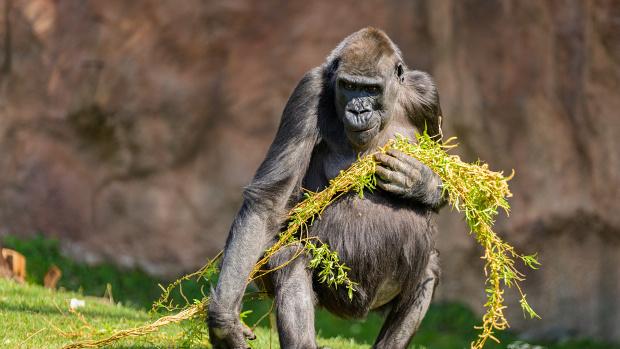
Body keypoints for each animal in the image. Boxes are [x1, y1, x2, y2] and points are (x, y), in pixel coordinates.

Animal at [209, 27, 446, 348]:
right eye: (349, 86)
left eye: (372, 90)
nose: (358, 110)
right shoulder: (308, 91)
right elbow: (270, 201)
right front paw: (224, 320)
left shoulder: (427, 93)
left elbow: (447, 172)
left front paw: (421, 181)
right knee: (288, 258)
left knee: (428, 268)